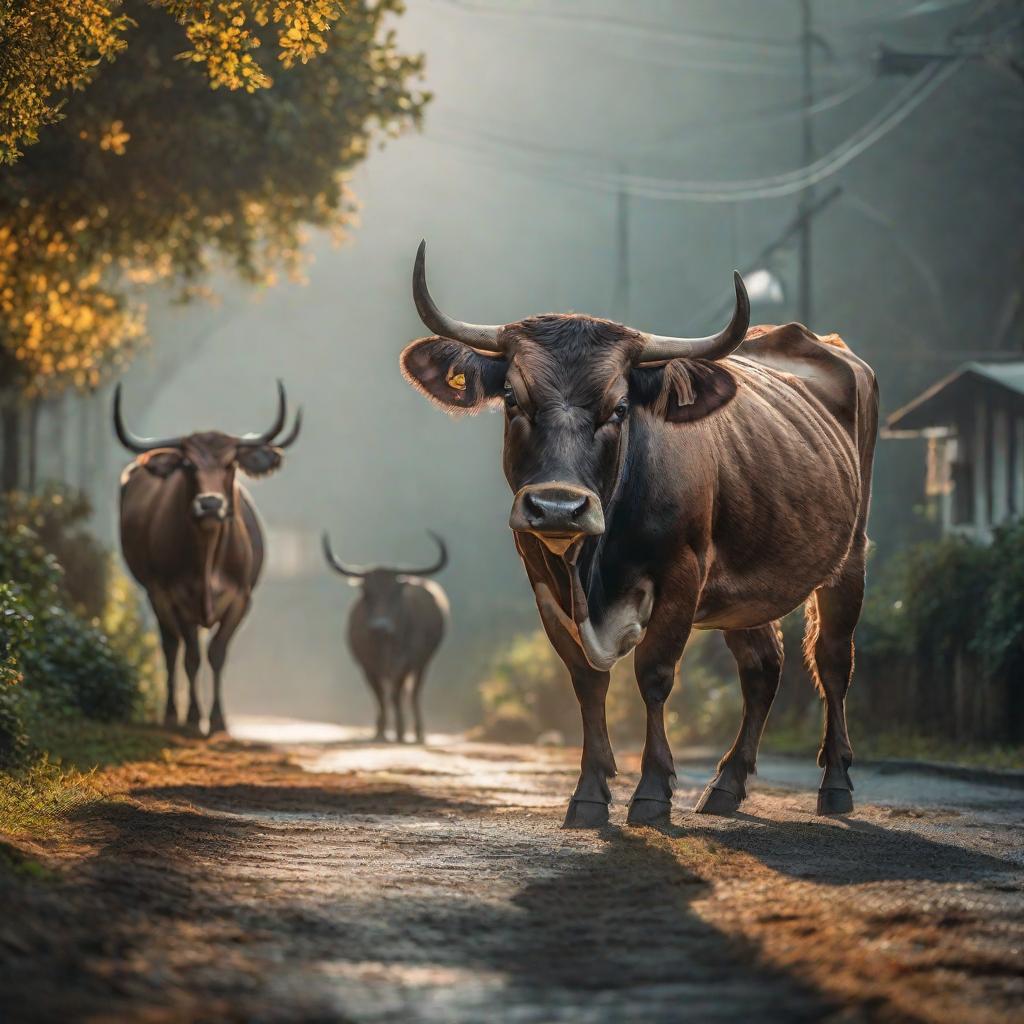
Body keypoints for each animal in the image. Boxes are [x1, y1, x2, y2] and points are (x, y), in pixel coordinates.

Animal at [116, 385, 301, 737]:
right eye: (188, 465)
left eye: (230, 463)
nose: (211, 504)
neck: (208, 560)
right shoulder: (176, 597)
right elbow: (191, 656)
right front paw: (191, 717)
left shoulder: (241, 599)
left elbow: (216, 653)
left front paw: (217, 720)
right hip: (155, 596)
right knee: (171, 648)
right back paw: (171, 713)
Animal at [321, 532, 446, 741]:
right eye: (366, 592)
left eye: (396, 593)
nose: (380, 626)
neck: (384, 645)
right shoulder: (366, 666)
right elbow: (379, 695)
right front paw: (381, 730)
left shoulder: (406, 662)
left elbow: (395, 693)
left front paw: (400, 730)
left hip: (423, 663)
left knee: (413, 693)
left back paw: (417, 731)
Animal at [399, 239, 880, 823]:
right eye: (513, 398)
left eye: (620, 406)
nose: (557, 507)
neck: (596, 564)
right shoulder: (541, 574)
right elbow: (585, 679)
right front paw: (588, 793)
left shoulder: (682, 574)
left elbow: (653, 674)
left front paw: (651, 792)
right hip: (747, 588)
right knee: (763, 667)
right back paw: (726, 786)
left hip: (850, 556)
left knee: (833, 660)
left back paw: (835, 784)